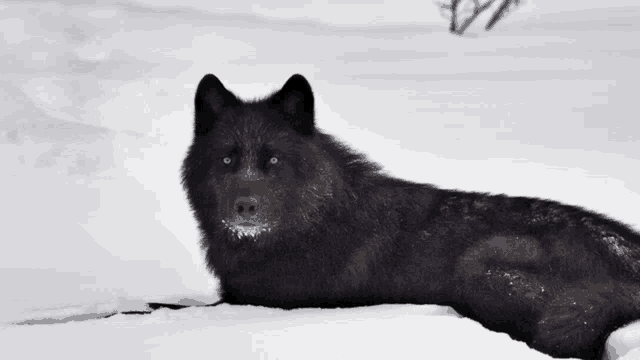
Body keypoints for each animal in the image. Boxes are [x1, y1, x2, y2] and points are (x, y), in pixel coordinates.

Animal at [179, 72, 640, 358]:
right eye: (226, 159)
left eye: (273, 161)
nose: (245, 206)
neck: (310, 223)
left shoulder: (260, 303)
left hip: (481, 267)